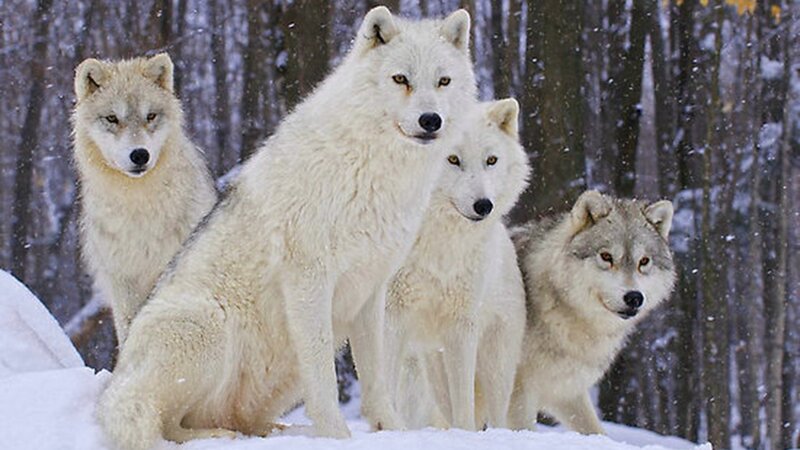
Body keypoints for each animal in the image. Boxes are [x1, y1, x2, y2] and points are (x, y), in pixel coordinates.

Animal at [96, 7, 477, 449]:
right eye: (401, 79)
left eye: (443, 81)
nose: (431, 120)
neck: (373, 168)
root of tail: (115, 383)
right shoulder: (309, 279)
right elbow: (324, 377)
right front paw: (336, 436)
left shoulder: (371, 288)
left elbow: (377, 377)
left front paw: (393, 431)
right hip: (208, 325)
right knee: (166, 423)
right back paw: (221, 435)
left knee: (232, 418)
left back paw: (274, 431)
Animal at [386, 98, 530, 431]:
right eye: (452, 159)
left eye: (491, 160)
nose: (484, 206)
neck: (438, 243)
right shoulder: (391, 315)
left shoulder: (462, 325)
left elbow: (464, 405)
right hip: (429, 368)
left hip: (494, 366)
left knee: (494, 415)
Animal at [507, 190, 676, 434]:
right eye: (606, 257)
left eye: (644, 261)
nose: (634, 297)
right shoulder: (517, 390)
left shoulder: (566, 391)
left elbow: (596, 430)